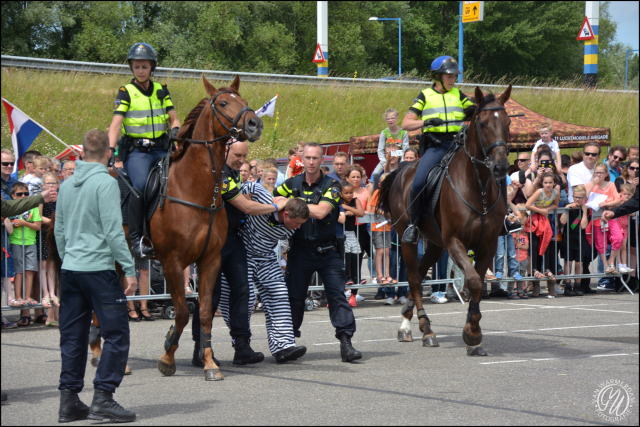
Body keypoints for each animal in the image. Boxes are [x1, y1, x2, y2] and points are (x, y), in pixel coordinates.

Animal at [47, 76, 262, 382]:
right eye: (222, 103)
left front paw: (209, 363)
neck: (194, 189)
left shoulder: (210, 260)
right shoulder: (172, 261)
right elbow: (182, 312)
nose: (255, 124)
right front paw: (167, 356)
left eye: (243, 101)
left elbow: (204, 312)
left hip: (113, 261)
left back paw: (101, 352)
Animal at [378, 85, 512, 356]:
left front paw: (473, 333)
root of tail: (401, 170)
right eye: (483, 124)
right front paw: (472, 332)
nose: (501, 167)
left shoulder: (488, 244)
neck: (478, 187)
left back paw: (407, 319)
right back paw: (424, 329)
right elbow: (473, 282)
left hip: (435, 244)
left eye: (508, 122)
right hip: (409, 239)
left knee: (418, 273)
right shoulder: (454, 242)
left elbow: (477, 284)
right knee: (414, 277)